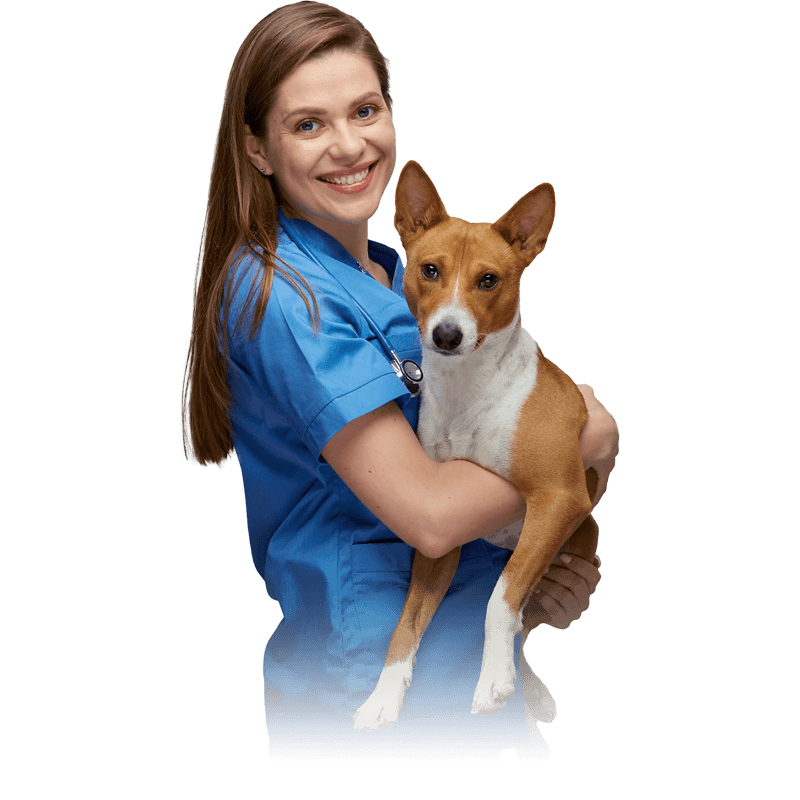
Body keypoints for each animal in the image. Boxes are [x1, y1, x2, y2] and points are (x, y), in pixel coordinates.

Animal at [354, 161, 596, 732]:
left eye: (489, 280)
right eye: (429, 270)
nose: (447, 334)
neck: (468, 391)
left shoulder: (559, 498)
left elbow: (498, 599)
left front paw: (491, 682)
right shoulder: (439, 535)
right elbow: (405, 624)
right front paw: (383, 695)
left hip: (571, 546)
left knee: (522, 619)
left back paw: (522, 683)